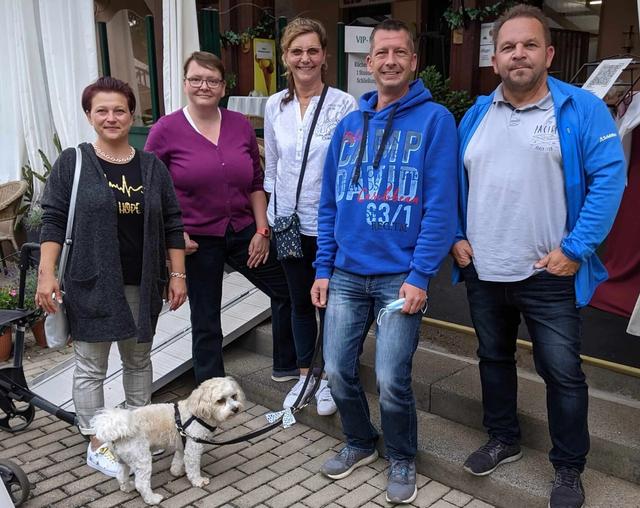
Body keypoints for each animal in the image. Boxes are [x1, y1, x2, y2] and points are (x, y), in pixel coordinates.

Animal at [92, 376, 245, 505]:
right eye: (220, 400)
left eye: (234, 396)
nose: (236, 408)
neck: (196, 413)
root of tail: (117, 430)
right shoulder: (193, 447)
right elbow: (193, 467)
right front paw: (198, 481)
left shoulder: (183, 443)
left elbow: (178, 459)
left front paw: (177, 472)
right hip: (142, 459)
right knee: (141, 483)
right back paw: (152, 499)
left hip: (125, 459)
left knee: (121, 475)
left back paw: (128, 487)